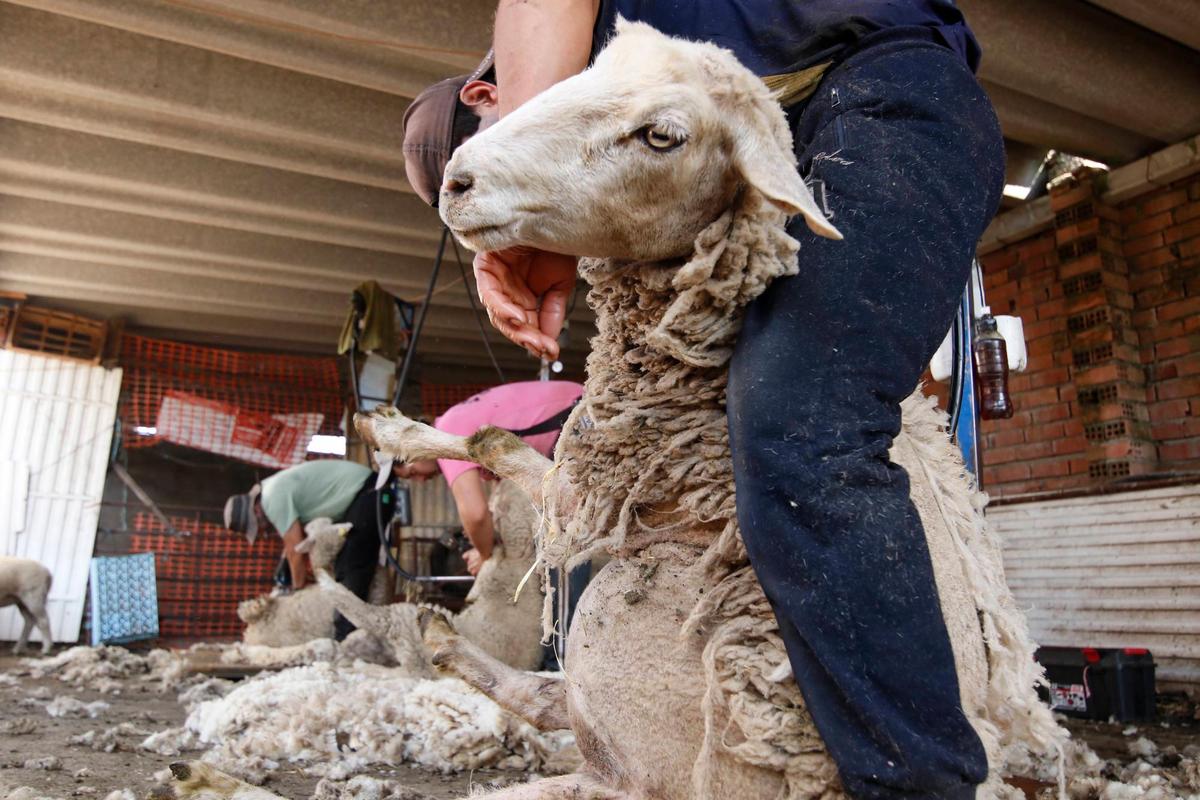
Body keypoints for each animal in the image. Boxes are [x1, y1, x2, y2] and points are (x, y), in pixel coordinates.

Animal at [350, 18, 1065, 800]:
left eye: (662, 136)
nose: (458, 180)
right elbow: (496, 444)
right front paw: (387, 426)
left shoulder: (594, 488)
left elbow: (492, 441)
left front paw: (393, 428)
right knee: (546, 700)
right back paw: (443, 643)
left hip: (648, 735)